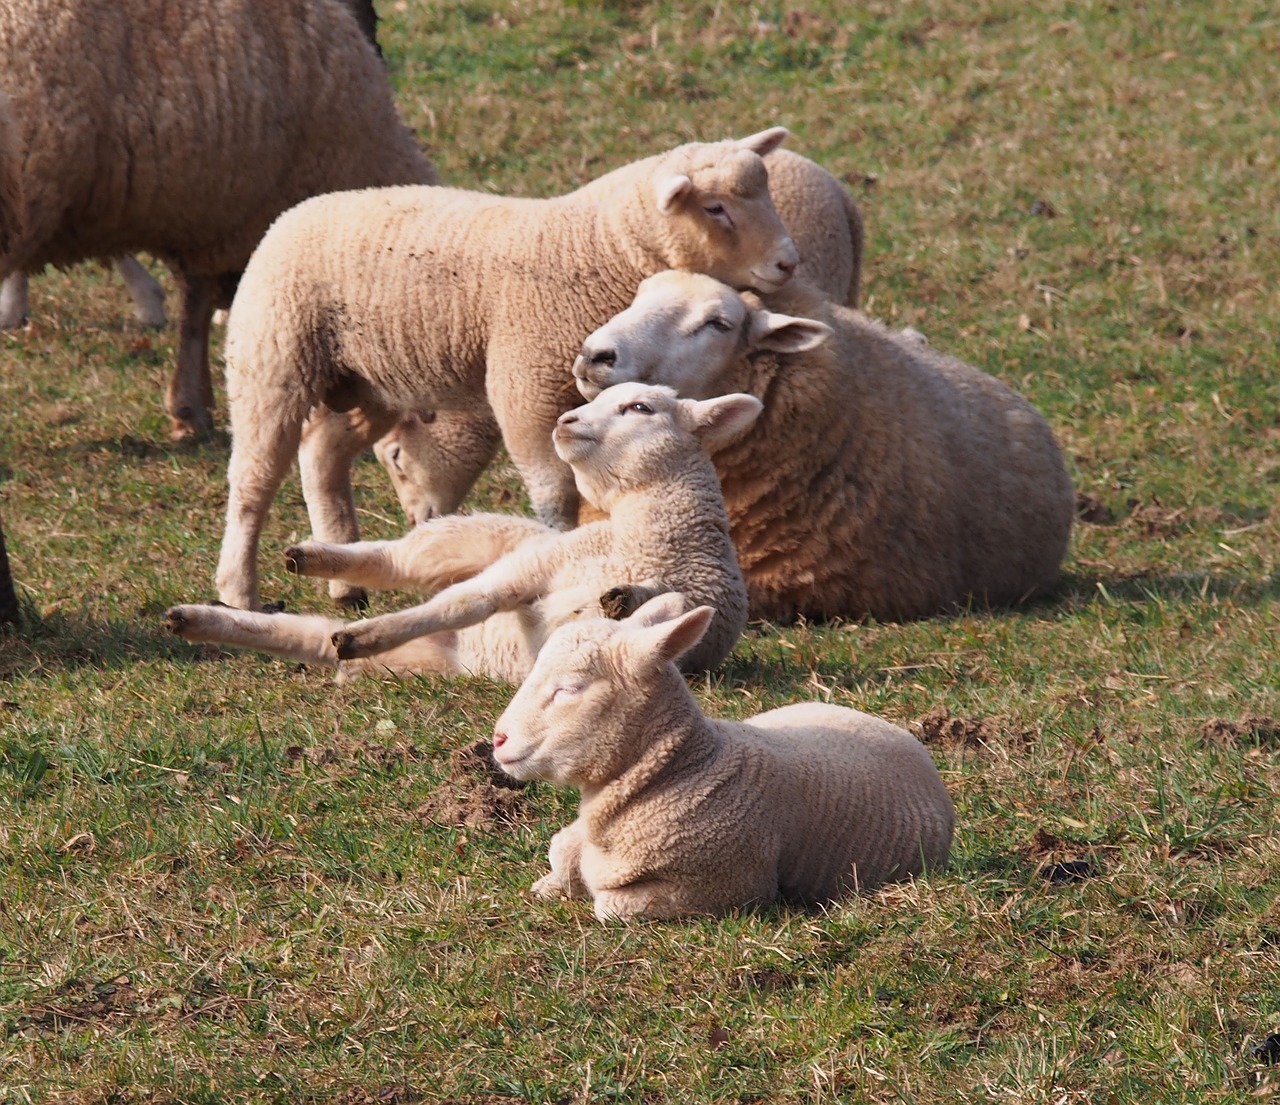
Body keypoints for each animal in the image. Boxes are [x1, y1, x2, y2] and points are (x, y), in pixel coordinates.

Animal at [0, 0, 435, 440]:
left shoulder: (211, 217)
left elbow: (196, 305)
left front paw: (190, 404)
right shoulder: (229, 219)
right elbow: (197, 307)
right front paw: (191, 405)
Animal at [166, 384, 757, 681]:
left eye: (640, 407)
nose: (564, 421)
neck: (643, 537)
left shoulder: (703, 622)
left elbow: (654, 611)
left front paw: (623, 599)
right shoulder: (530, 569)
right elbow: (462, 601)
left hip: (422, 656)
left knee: (310, 635)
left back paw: (204, 622)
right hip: (470, 536)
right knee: (395, 561)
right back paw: (310, 559)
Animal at [216, 131, 798, 614]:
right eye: (716, 208)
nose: (788, 262)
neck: (596, 244)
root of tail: (297, 212)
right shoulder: (526, 382)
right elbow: (554, 493)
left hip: (368, 381)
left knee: (323, 457)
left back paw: (344, 583)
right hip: (274, 356)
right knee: (253, 479)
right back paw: (239, 591)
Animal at [488, 591, 952, 921]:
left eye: (570, 688)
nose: (498, 739)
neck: (684, 768)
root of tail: (909, 741)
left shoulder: (724, 888)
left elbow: (610, 906)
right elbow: (561, 852)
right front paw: (549, 885)